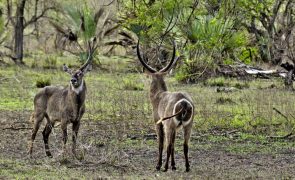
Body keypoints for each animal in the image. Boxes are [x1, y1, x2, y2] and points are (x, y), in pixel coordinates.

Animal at [138, 40, 195, 172]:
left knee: (168, 145)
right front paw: (174, 165)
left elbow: (161, 144)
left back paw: (164, 167)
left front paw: (159, 165)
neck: (159, 96)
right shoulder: (176, 128)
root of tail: (184, 101)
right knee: (185, 145)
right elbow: (174, 145)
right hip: (187, 126)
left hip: (169, 126)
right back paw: (187, 167)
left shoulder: (158, 123)